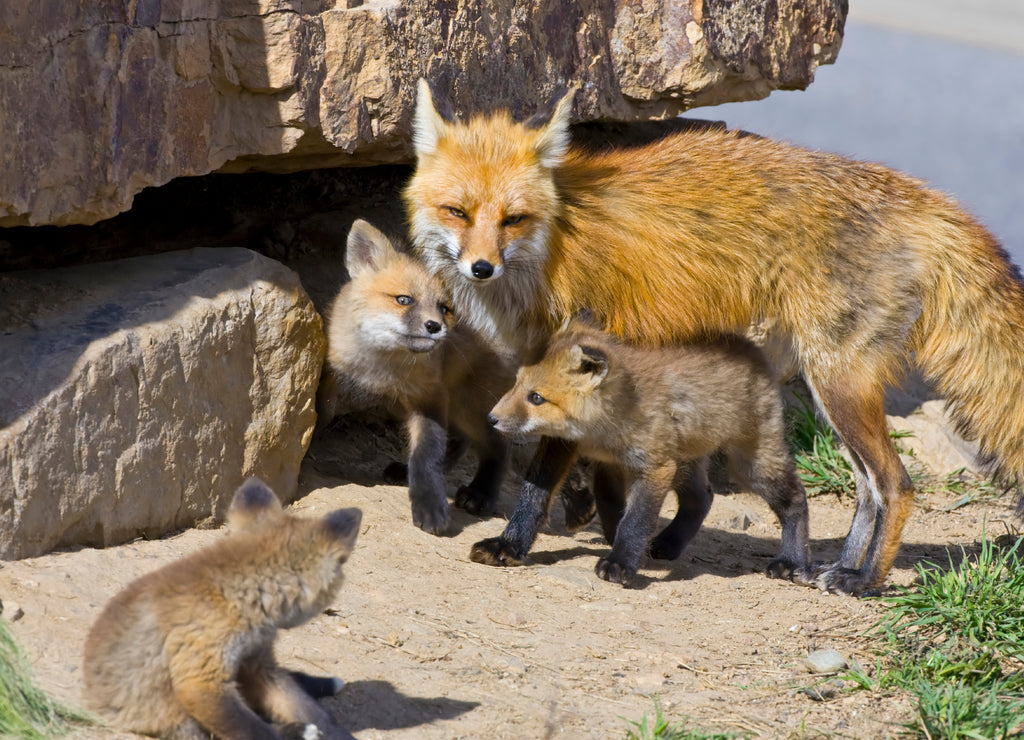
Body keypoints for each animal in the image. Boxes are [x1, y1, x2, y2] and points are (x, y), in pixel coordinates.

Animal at [82, 477, 361, 740]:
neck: (237, 599)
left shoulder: (258, 663)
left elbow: (307, 709)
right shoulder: (201, 678)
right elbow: (258, 732)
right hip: (180, 719)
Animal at [477, 320, 811, 587]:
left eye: (536, 398)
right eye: (516, 384)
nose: (491, 418)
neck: (600, 433)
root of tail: (750, 347)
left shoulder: (655, 466)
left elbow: (635, 519)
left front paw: (620, 562)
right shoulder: (581, 453)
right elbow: (538, 499)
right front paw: (509, 545)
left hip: (748, 465)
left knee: (796, 497)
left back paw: (792, 561)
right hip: (686, 462)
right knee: (702, 497)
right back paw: (669, 544)